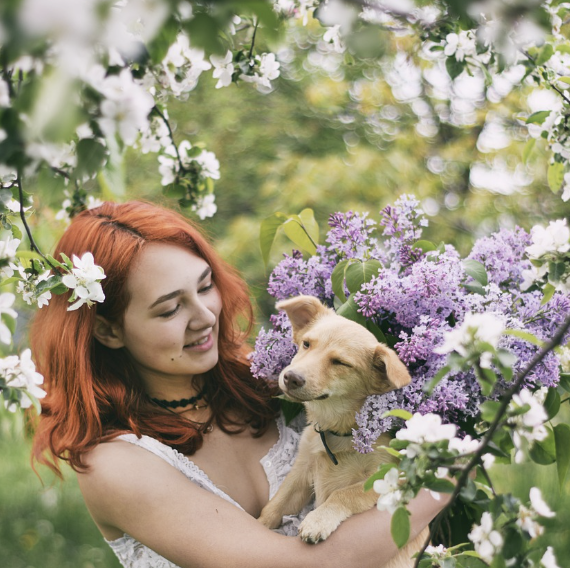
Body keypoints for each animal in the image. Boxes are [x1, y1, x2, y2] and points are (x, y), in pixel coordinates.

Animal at [256, 296, 426, 564]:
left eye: (340, 363)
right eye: (306, 344)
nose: (291, 377)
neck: (337, 432)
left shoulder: (390, 478)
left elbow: (345, 493)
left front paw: (317, 521)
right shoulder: (301, 471)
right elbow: (276, 505)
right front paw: (261, 524)